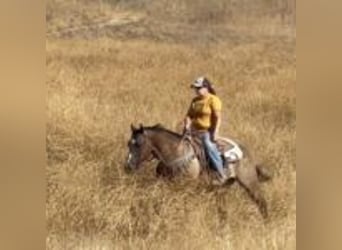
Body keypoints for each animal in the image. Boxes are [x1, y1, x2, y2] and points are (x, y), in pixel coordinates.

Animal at [124, 124, 272, 218]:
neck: (175, 153)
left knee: (262, 203)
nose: (128, 166)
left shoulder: (185, 188)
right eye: (128, 144)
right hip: (222, 189)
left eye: (139, 144)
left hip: (249, 182)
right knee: (223, 212)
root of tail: (244, 149)